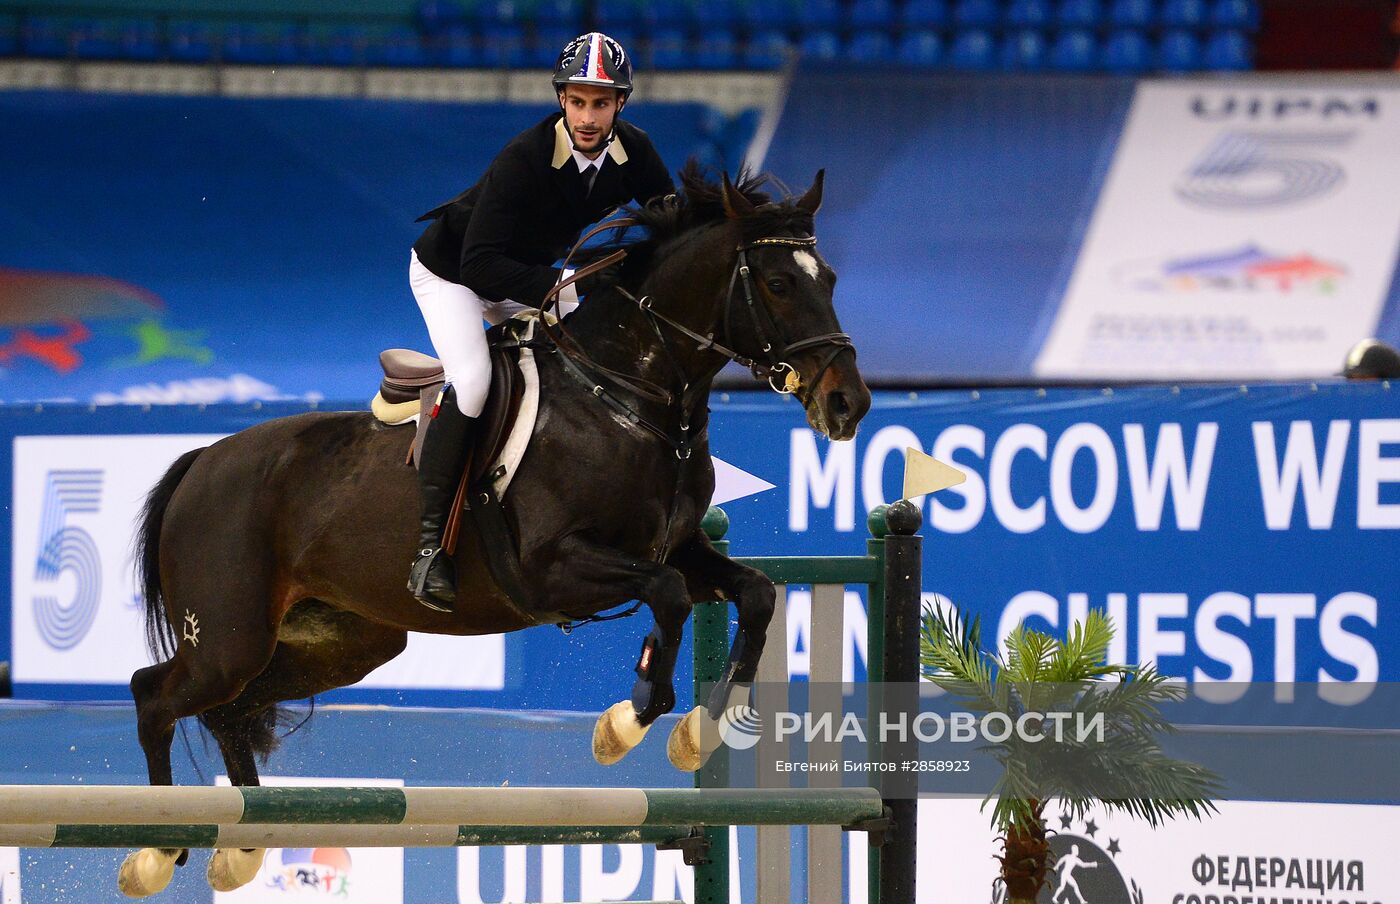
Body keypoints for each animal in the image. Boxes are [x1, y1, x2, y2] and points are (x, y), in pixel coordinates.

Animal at [123, 166, 862, 895]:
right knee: (154, 693)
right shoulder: (553, 569)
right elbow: (669, 595)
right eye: (778, 283)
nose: (848, 403)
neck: (628, 397)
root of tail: (202, 461)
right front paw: (626, 724)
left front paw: (697, 735)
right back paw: (158, 849)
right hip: (229, 638)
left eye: (828, 279)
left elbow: (755, 594)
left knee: (232, 709)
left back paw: (242, 846)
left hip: (343, 642)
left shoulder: (680, 548)